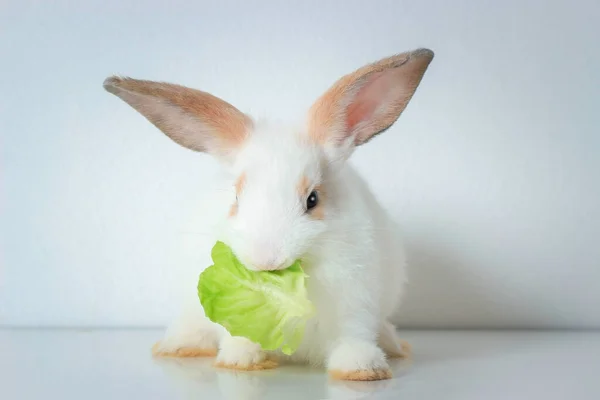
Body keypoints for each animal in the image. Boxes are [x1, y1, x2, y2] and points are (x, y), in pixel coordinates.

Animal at [102, 47, 432, 382]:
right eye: (236, 198)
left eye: (313, 199)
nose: (266, 261)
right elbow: (240, 336)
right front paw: (241, 362)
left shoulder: (356, 303)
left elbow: (353, 338)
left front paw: (363, 370)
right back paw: (177, 346)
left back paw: (394, 346)